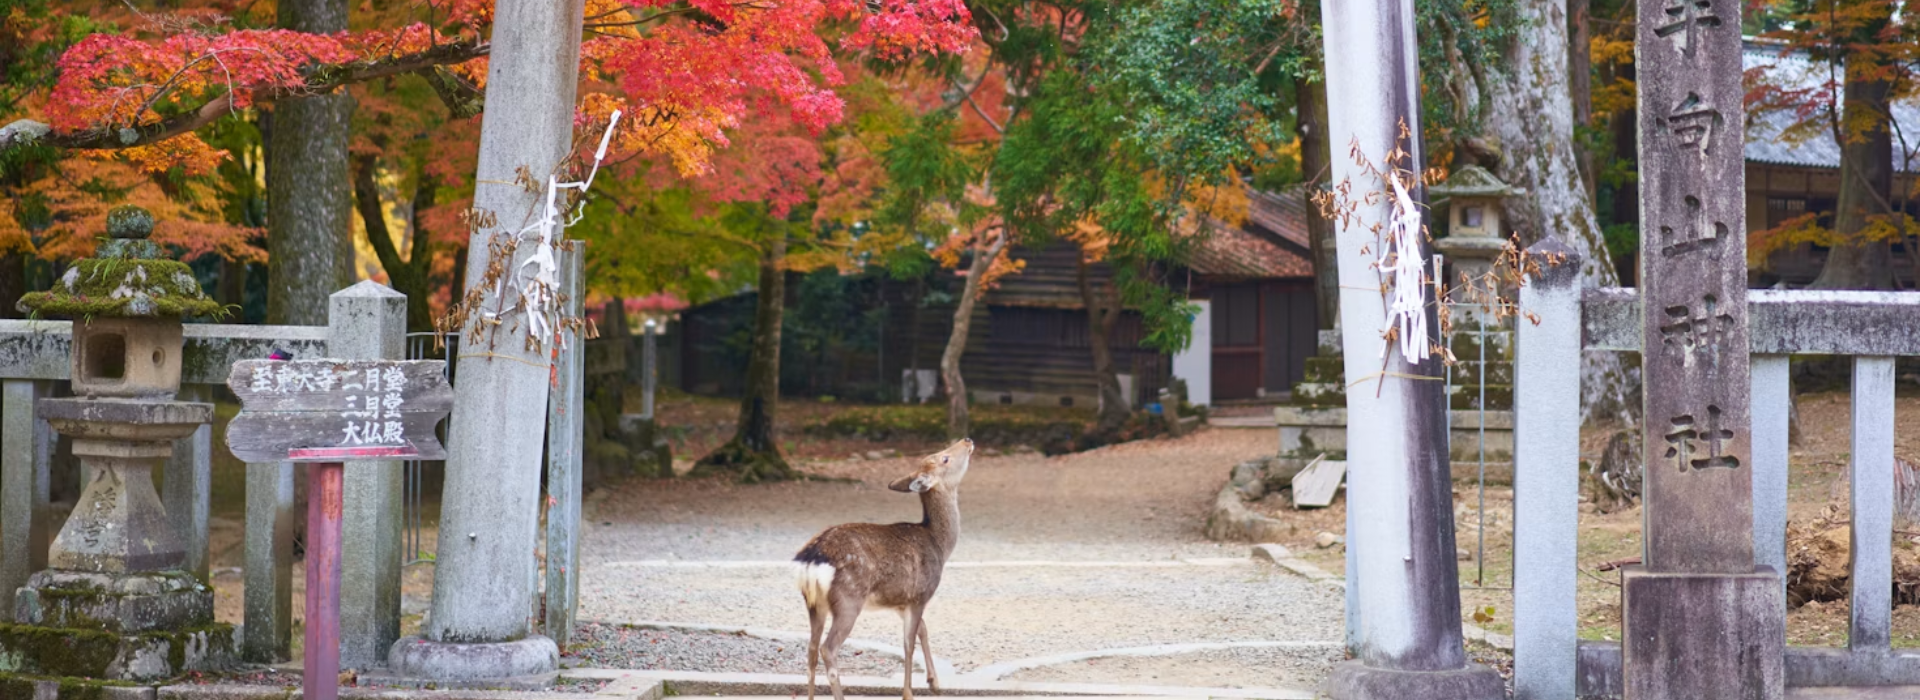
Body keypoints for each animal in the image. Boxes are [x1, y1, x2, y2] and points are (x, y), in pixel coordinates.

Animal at [794, 438, 974, 700]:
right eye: (944, 458)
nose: (967, 440)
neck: (940, 546)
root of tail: (811, 560)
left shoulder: (900, 600)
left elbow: (923, 630)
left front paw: (934, 682)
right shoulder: (920, 594)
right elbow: (908, 644)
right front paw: (909, 693)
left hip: (814, 603)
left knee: (811, 648)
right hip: (848, 599)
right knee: (828, 648)